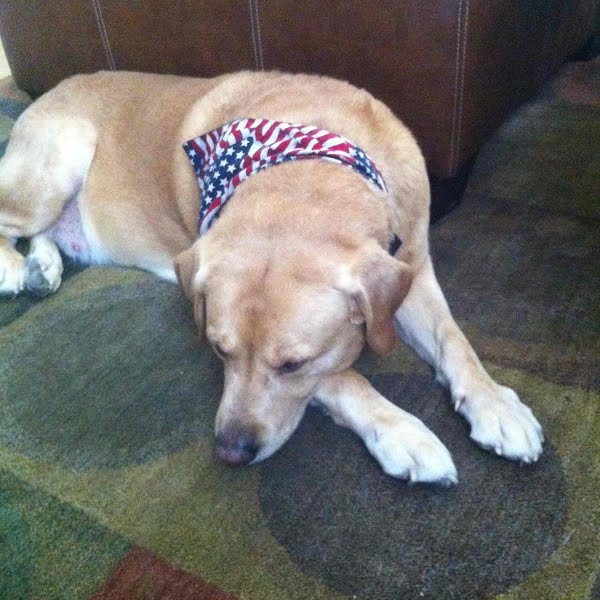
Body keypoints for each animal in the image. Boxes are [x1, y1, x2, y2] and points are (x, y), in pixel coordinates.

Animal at [0, 71, 544, 484]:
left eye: (292, 365)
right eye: (218, 350)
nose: (230, 452)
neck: (308, 163)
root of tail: (48, 92)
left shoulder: (413, 265)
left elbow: (455, 340)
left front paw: (496, 406)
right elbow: (344, 378)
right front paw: (403, 432)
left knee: (42, 233)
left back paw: (43, 268)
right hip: (57, 163)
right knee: (11, 219)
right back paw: (15, 268)